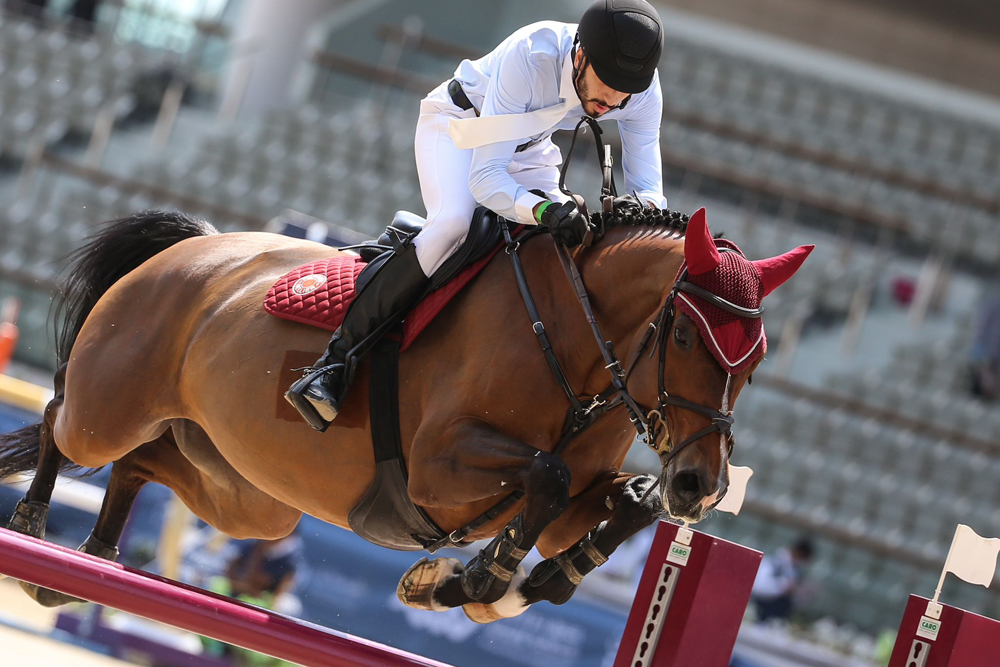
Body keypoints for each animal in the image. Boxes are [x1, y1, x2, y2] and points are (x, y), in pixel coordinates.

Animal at [0, 206, 812, 624]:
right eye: (686, 336)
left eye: (757, 357)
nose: (700, 487)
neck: (580, 344)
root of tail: (194, 247)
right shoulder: (439, 470)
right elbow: (545, 475)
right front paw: (472, 582)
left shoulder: (574, 498)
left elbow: (620, 509)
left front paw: (533, 584)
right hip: (112, 407)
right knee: (62, 422)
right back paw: (36, 526)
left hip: (244, 494)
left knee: (142, 463)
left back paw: (88, 560)